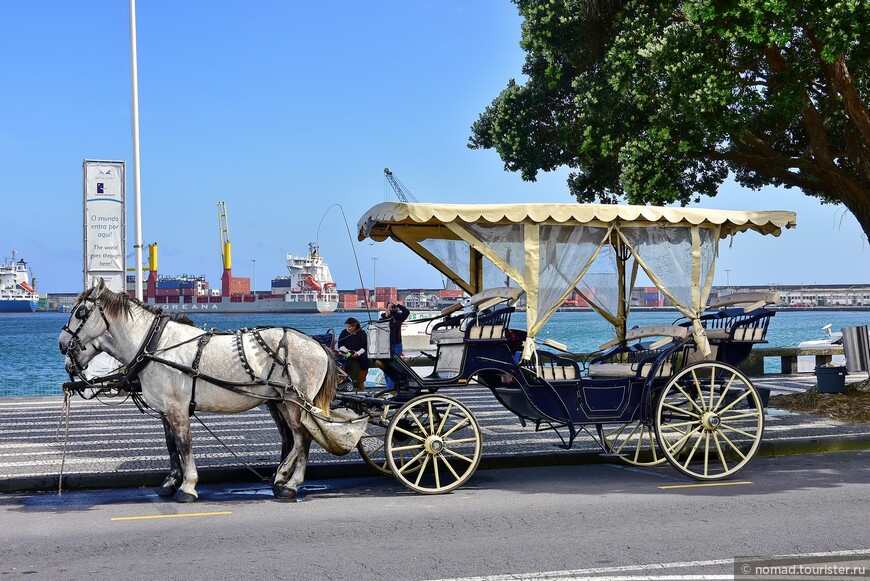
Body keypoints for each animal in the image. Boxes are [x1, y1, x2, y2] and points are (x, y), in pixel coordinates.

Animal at [59, 280, 338, 498]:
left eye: (81, 312)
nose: (62, 345)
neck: (155, 344)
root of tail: (316, 344)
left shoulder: (177, 407)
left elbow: (184, 445)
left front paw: (188, 486)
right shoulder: (165, 409)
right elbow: (171, 446)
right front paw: (171, 482)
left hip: (295, 401)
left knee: (302, 438)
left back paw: (291, 483)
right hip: (282, 402)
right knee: (294, 439)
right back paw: (280, 476)